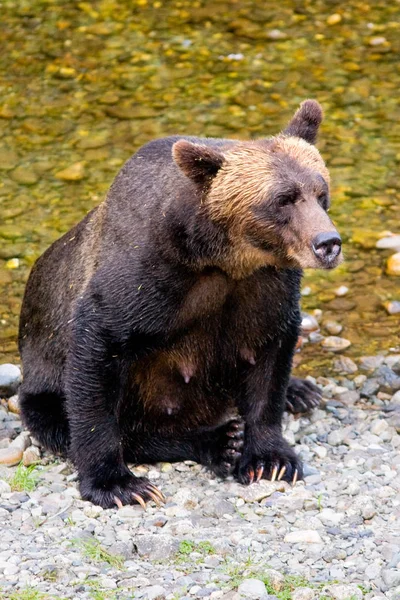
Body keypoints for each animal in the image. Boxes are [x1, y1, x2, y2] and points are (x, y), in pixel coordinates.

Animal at [18, 99, 342, 506]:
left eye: (321, 191)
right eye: (282, 199)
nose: (328, 243)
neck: (222, 258)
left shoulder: (266, 287)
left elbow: (269, 358)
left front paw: (271, 459)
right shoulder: (142, 281)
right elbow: (98, 359)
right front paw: (117, 484)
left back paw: (298, 392)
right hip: (43, 383)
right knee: (74, 421)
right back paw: (219, 441)